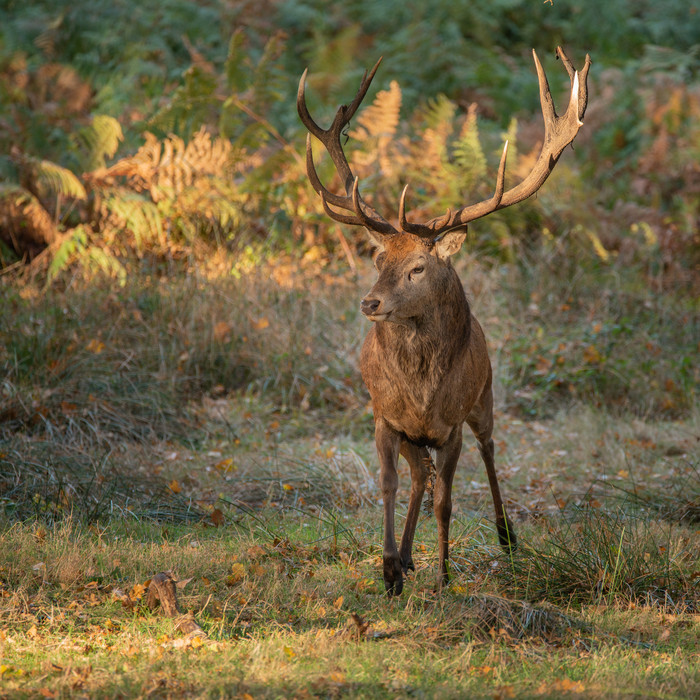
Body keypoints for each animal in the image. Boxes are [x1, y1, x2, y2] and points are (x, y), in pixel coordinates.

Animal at [296, 47, 592, 596]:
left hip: (484, 397)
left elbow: (447, 502)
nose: (370, 303)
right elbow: (390, 484)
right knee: (419, 476)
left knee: (489, 451)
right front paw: (390, 568)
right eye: (378, 258)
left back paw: (505, 538)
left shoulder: (451, 424)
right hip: (419, 436)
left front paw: (444, 577)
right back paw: (410, 556)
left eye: (418, 267)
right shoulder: (386, 418)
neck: (421, 391)